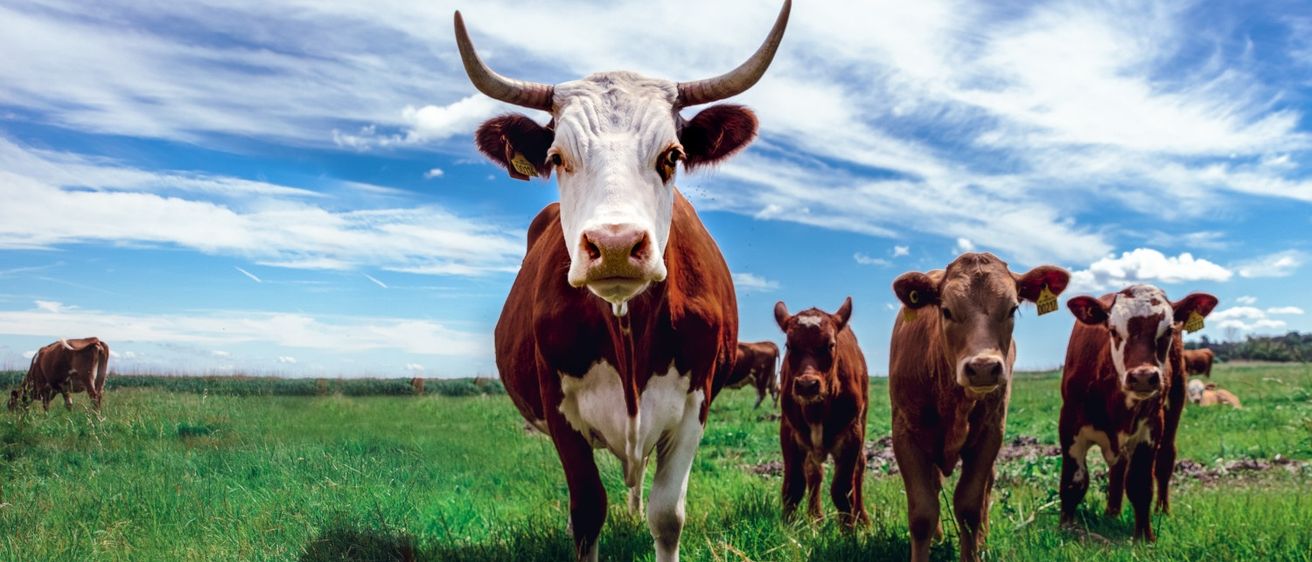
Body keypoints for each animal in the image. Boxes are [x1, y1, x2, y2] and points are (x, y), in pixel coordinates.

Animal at [455, 3, 791, 560]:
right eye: (557, 158)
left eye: (672, 155)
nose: (614, 244)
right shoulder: (559, 408)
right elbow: (588, 511)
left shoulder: (695, 404)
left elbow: (667, 515)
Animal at [774, 297, 869, 528]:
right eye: (789, 345)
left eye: (830, 345)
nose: (807, 385)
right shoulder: (789, 431)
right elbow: (793, 486)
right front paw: (788, 528)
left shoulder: (852, 434)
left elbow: (842, 490)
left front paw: (848, 531)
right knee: (814, 472)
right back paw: (815, 517)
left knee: (860, 467)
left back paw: (862, 519)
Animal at [889, 252, 1070, 562]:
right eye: (946, 310)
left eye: (1012, 309)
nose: (984, 368)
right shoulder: (905, 434)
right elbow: (923, 512)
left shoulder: (990, 433)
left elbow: (969, 506)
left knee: (987, 486)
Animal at [1060, 285, 1218, 542]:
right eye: (1113, 330)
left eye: (1168, 330)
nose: (1143, 376)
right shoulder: (1069, 424)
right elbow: (1074, 482)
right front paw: (1066, 528)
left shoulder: (1150, 428)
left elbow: (1140, 484)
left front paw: (1145, 536)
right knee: (1118, 468)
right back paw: (1111, 512)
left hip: (1175, 403)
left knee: (1164, 460)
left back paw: (1162, 510)